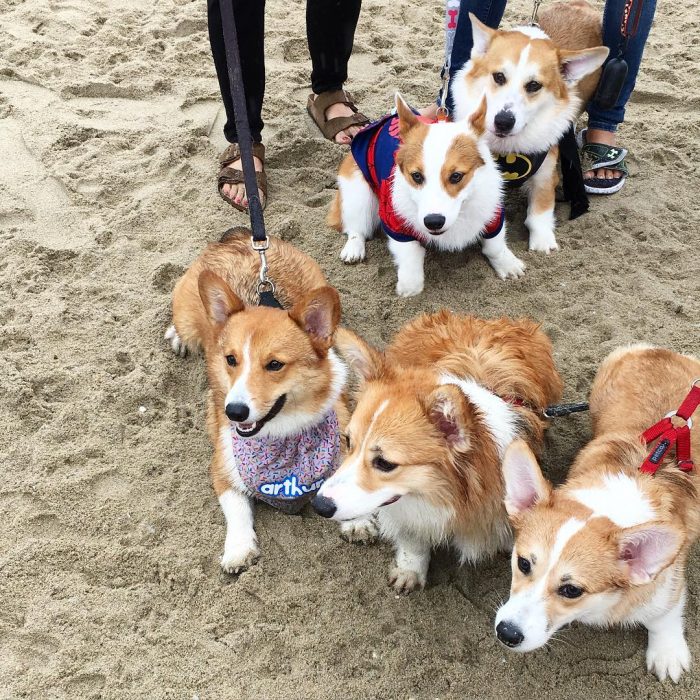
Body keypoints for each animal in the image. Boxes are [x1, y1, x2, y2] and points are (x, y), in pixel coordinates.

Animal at [167, 230, 378, 576]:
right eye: (231, 360)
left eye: (275, 365)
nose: (234, 411)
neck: (283, 434)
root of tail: (238, 238)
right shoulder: (223, 468)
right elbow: (236, 509)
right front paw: (238, 550)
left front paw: (357, 521)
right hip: (188, 316)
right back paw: (176, 336)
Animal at [308, 312, 560, 592]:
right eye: (348, 441)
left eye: (384, 463)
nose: (318, 505)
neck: (453, 496)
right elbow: (412, 539)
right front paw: (409, 570)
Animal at [330, 93, 524, 298]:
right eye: (416, 176)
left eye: (456, 176)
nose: (433, 222)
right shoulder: (395, 223)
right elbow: (410, 261)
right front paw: (409, 288)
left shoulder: (493, 213)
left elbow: (495, 244)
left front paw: (508, 264)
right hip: (358, 194)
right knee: (356, 227)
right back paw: (353, 249)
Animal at [452, 2, 608, 254]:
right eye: (498, 76)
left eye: (534, 85)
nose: (503, 121)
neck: (506, 148)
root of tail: (578, 4)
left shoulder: (545, 175)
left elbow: (539, 213)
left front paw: (542, 243)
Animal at [494, 346, 700, 684]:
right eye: (523, 563)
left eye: (571, 590)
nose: (507, 633)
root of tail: (657, 350)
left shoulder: (667, 585)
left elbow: (663, 617)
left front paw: (667, 653)